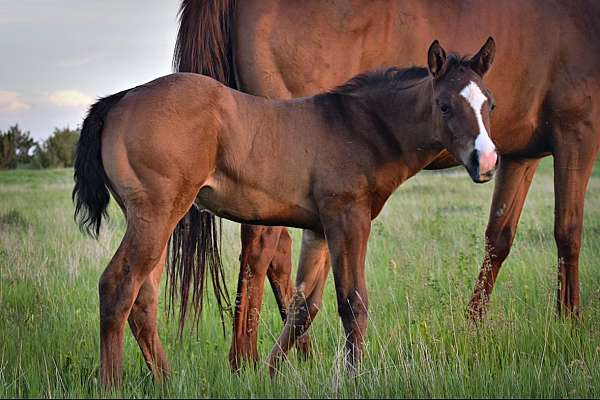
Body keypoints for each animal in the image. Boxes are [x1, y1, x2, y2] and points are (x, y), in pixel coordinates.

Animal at [74, 39, 496, 386]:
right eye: (444, 105)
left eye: (488, 104)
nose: (487, 161)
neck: (358, 127)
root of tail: (118, 99)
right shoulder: (348, 218)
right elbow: (353, 302)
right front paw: (353, 379)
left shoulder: (319, 230)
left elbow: (303, 307)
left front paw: (268, 374)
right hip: (158, 216)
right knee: (118, 286)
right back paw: (111, 385)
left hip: (151, 219)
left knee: (143, 298)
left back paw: (166, 381)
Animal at [172, 0, 600, 368]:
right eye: (445, 106)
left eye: (491, 106)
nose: (484, 158)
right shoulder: (577, 133)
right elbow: (568, 231)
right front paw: (571, 323)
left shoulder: (520, 155)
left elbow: (499, 238)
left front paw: (474, 326)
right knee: (261, 247)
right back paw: (245, 361)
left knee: (280, 256)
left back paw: (299, 356)